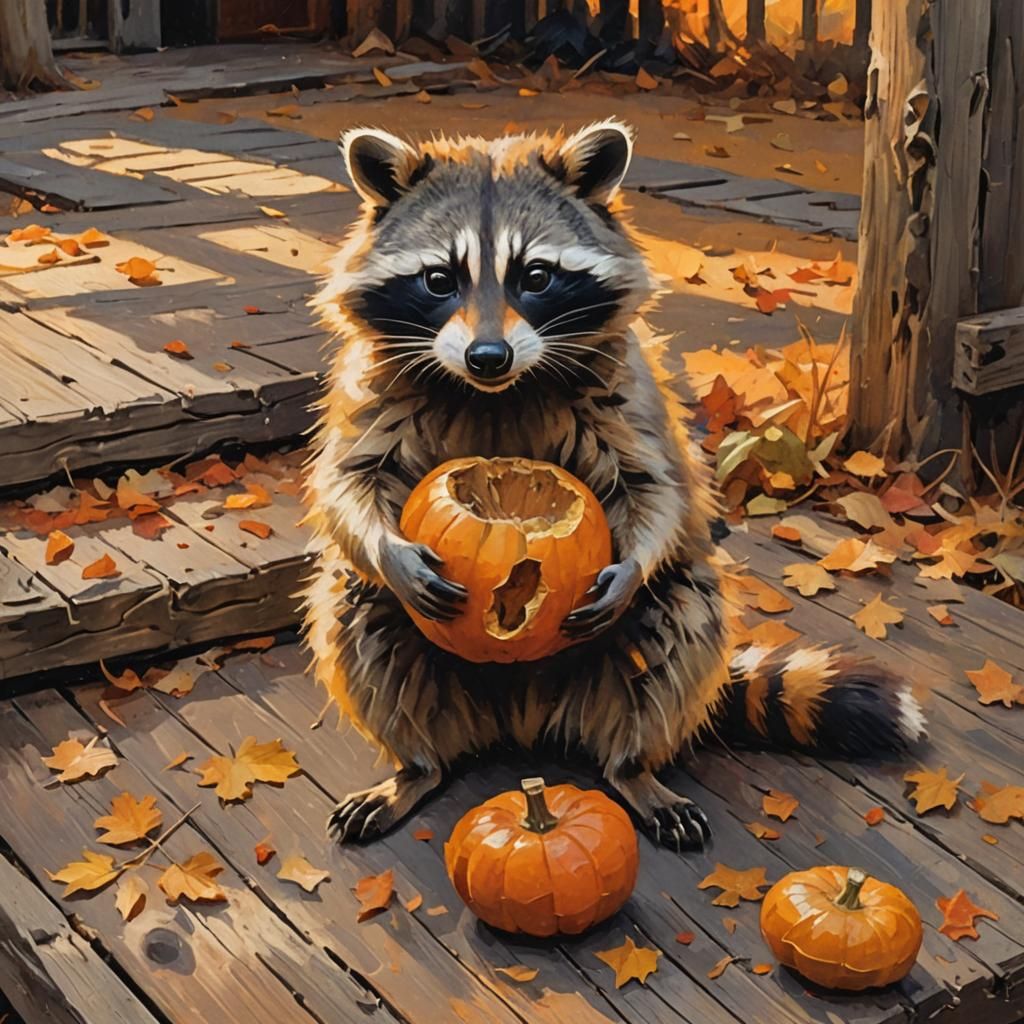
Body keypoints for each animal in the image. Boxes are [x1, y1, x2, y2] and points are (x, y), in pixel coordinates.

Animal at [303, 119, 926, 851]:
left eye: (534, 276)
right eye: (437, 279)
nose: (489, 357)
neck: (498, 391)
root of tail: (520, 716)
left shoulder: (628, 386)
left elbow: (660, 485)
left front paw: (633, 562)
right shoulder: (376, 385)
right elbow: (348, 480)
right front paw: (389, 549)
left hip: (643, 646)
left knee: (682, 616)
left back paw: (631, 766)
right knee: (354, 606)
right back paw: (416, 764)